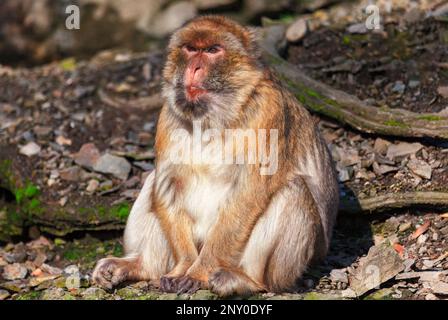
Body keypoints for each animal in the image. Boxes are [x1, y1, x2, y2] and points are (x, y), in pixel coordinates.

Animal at [93, 14, 338, 296]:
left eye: (212, 50)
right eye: (191, 49)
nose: (194, 68)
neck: (214, 116)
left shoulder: (269, 111)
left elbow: (247, 196)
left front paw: (198, 272)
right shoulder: (167, 115)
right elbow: (168, 187)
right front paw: (184, 266)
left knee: (293, 191)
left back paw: (248, 281)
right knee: (154, 181)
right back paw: (141, 266)